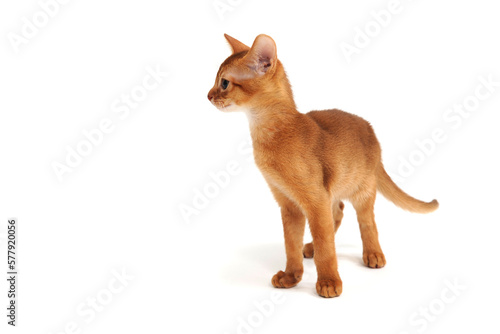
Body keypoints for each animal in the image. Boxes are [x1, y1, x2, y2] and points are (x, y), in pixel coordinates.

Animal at [207, 34, 438, 298]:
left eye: (224, 83)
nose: (208, 95)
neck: (272, 134)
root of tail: (371, 130)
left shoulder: (314, 199)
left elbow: (326, 246)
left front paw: (329, 282)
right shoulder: (290, 204)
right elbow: (292, 244)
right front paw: (291, 276)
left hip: (361, 189)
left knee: (366, 221)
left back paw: (373, 254)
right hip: (334, 187)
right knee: (338, 211)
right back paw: (311, 248)